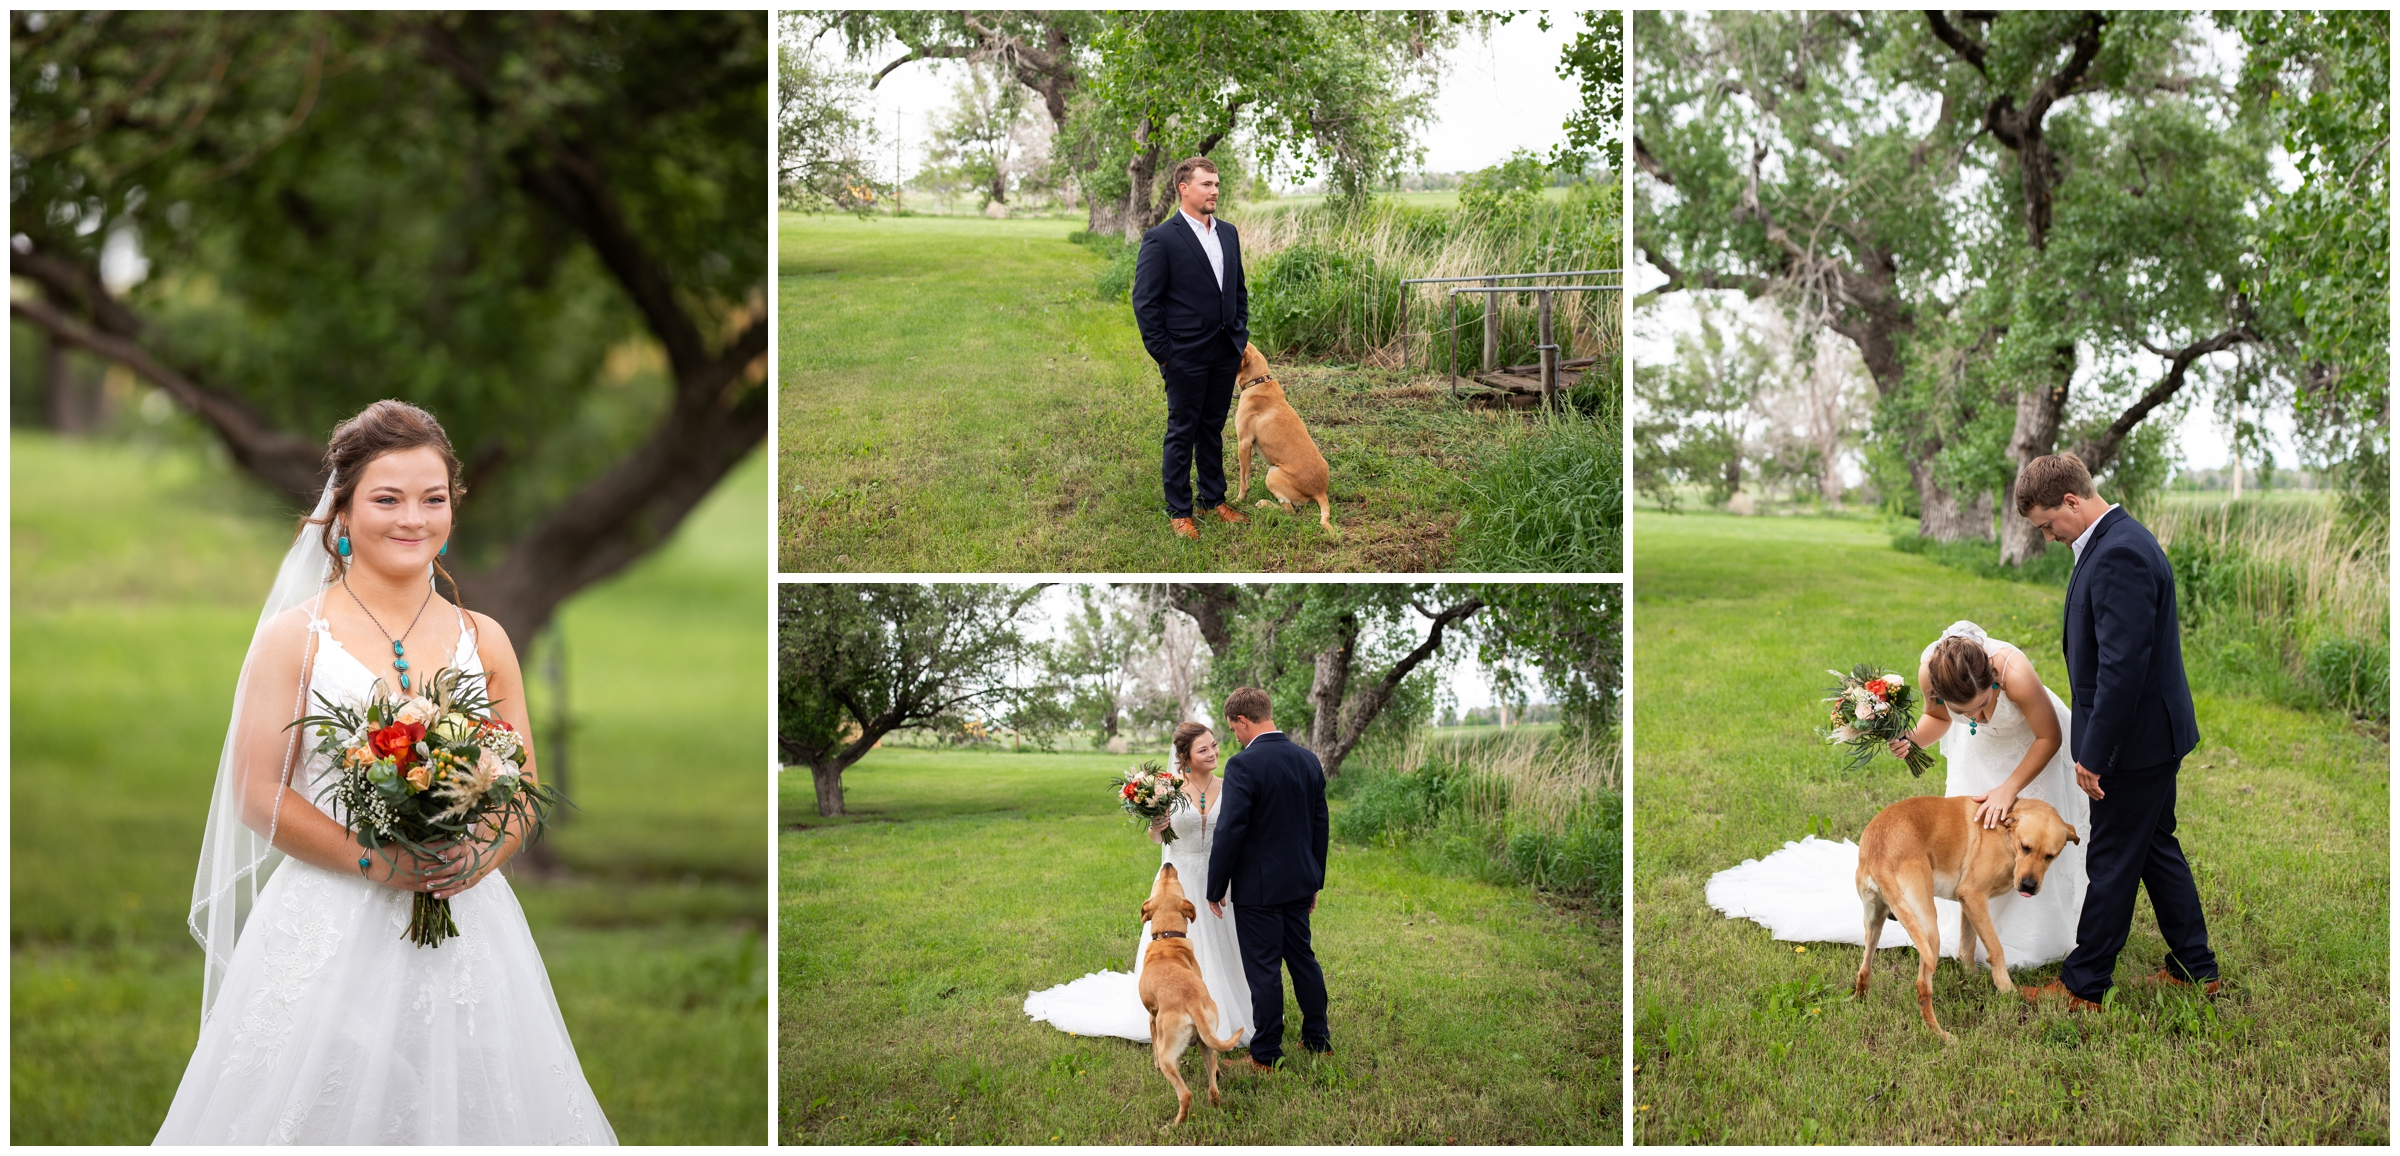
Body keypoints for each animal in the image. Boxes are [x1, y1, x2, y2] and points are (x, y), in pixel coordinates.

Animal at [1132, 863, 1238, 1122]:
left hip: (1169, 1053)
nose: (1167, 865)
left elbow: (1153, 1047)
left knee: (1185, 1094)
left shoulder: (1151, 1018)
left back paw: (1173, 1125)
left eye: (1171, 882)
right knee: (1213, 1090)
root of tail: (1192, 1003)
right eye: (1163, 882)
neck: (1166, 938)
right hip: (1207, 1043)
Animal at [1238, 340, 1334, 530]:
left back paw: (1264, 504)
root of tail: (1320, 491)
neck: (1258, 382)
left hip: (1272, 474)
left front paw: (1238, 500)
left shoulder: (1244, 444)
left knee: (1289, 510)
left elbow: (1244, 481)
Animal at [1852, 801, 2083, 1040]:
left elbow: (1967, 947)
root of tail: (1879, 853)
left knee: (1864, 969)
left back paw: (1859, 1001)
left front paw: (1974, 979)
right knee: (1923, 989)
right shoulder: (1974, 895)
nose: (2029, 886)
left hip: (1875, 920)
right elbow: (1996, 948)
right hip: (1928, 931)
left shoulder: (1968, 902)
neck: (2005, 834)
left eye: (2050, 856)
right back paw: (1941, 1035)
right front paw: (2006, 988)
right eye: (2025, 847)